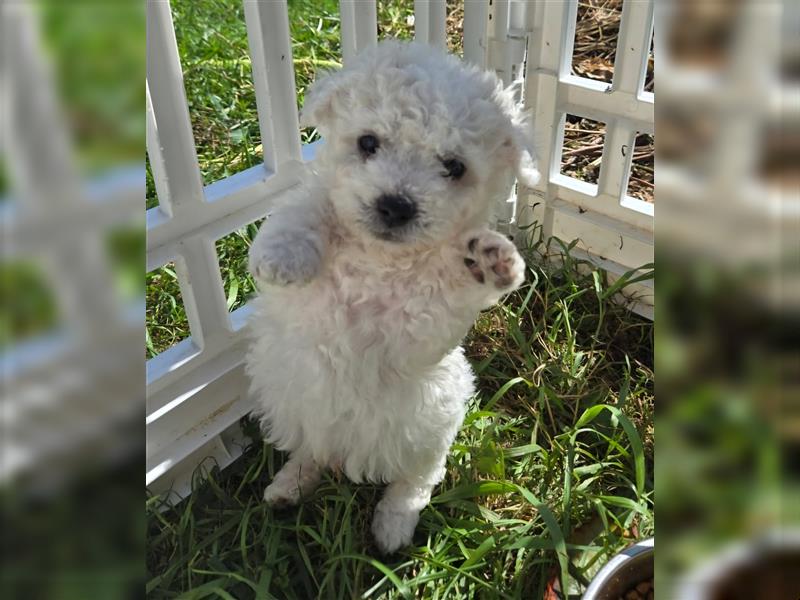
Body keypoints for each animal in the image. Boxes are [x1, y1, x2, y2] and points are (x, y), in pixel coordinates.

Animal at [247, 41, 540, 552]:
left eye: (454, 167)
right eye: (368, 143)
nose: (395, 205)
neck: (379, 259)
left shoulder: (421, 334)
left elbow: (445, 292)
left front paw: (486, 262)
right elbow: (305, 209)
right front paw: (282, 256)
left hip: (432, 423)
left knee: (417, 480)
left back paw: (392, 528)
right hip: (292, 399)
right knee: (309, 449)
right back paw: (287, 486)